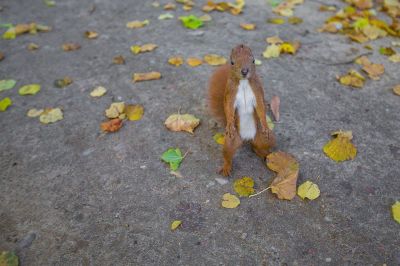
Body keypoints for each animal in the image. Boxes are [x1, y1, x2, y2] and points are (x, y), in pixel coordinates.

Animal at [206, 44, 276, 177]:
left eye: (253, 60)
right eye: (232, 62)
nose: (244, 71)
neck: (243, 83)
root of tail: (247, 138)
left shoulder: (257, 91)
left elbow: (261, 107)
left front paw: (265, 124)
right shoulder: (230, 94)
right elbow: (228, 108)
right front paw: (229, 124)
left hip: (265, 138)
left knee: (258, 147)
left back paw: (267, 156)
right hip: (231, 141)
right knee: (228, 154)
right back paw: (226, 167)